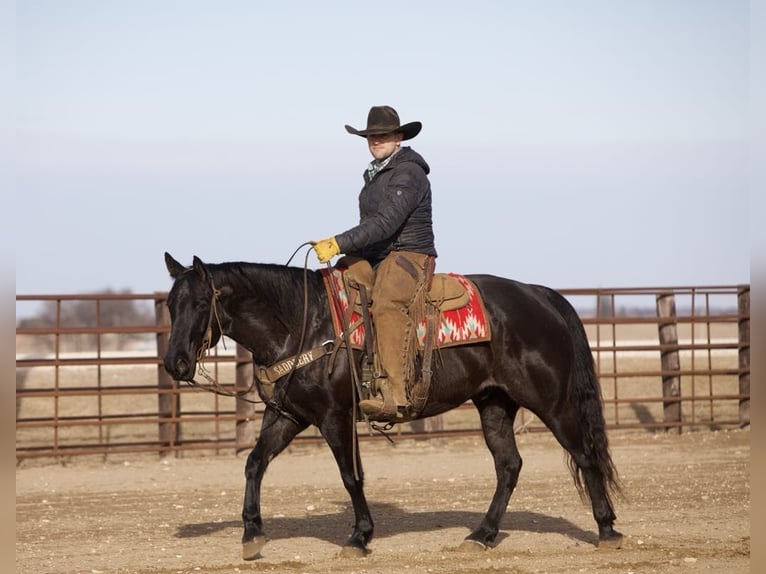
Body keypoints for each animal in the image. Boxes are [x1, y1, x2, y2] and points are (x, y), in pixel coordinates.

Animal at [164, 254, 624, 560]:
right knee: (509, 465)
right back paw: (482, 535)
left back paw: (606, 529)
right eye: (170, 305)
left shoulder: (334, 417)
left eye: (201, 304)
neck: (303, 323)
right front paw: (251, 534)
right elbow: (254, 464)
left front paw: (359, 537)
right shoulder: (288, 416)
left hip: (551, 401)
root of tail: (541, 296)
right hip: (495, 402)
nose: (174, 363)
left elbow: (351, 477)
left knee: (585, 456)